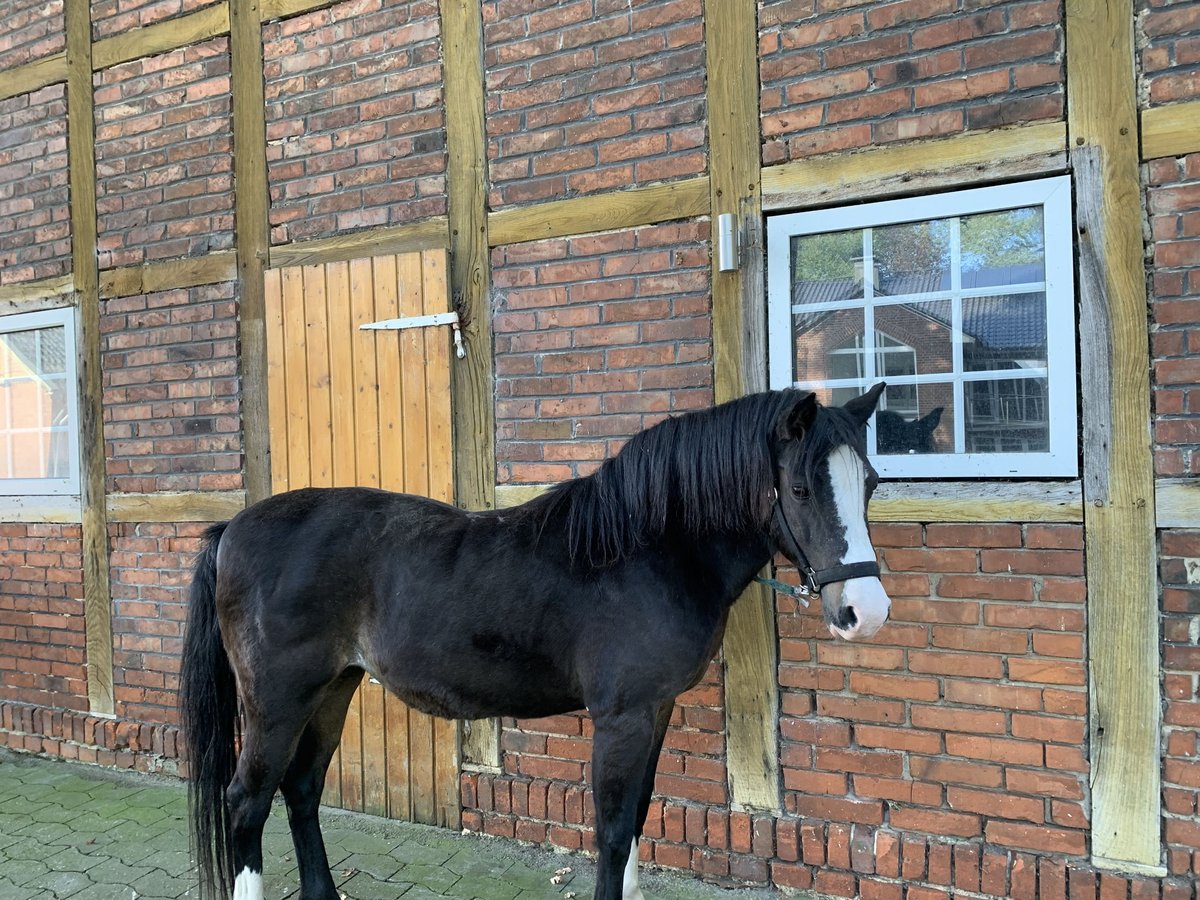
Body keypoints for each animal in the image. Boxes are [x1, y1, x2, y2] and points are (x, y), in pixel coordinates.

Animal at [177, 384, 892, 897]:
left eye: (872, 482)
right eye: (799, 488)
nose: (866, 611)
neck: (647, 550)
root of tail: (232, 529)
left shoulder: (655, 711)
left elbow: (637, 820)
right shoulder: (621, 718)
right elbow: (612, 832)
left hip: (332, 689)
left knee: (300, 790)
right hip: (276, 702)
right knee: (246, 803)